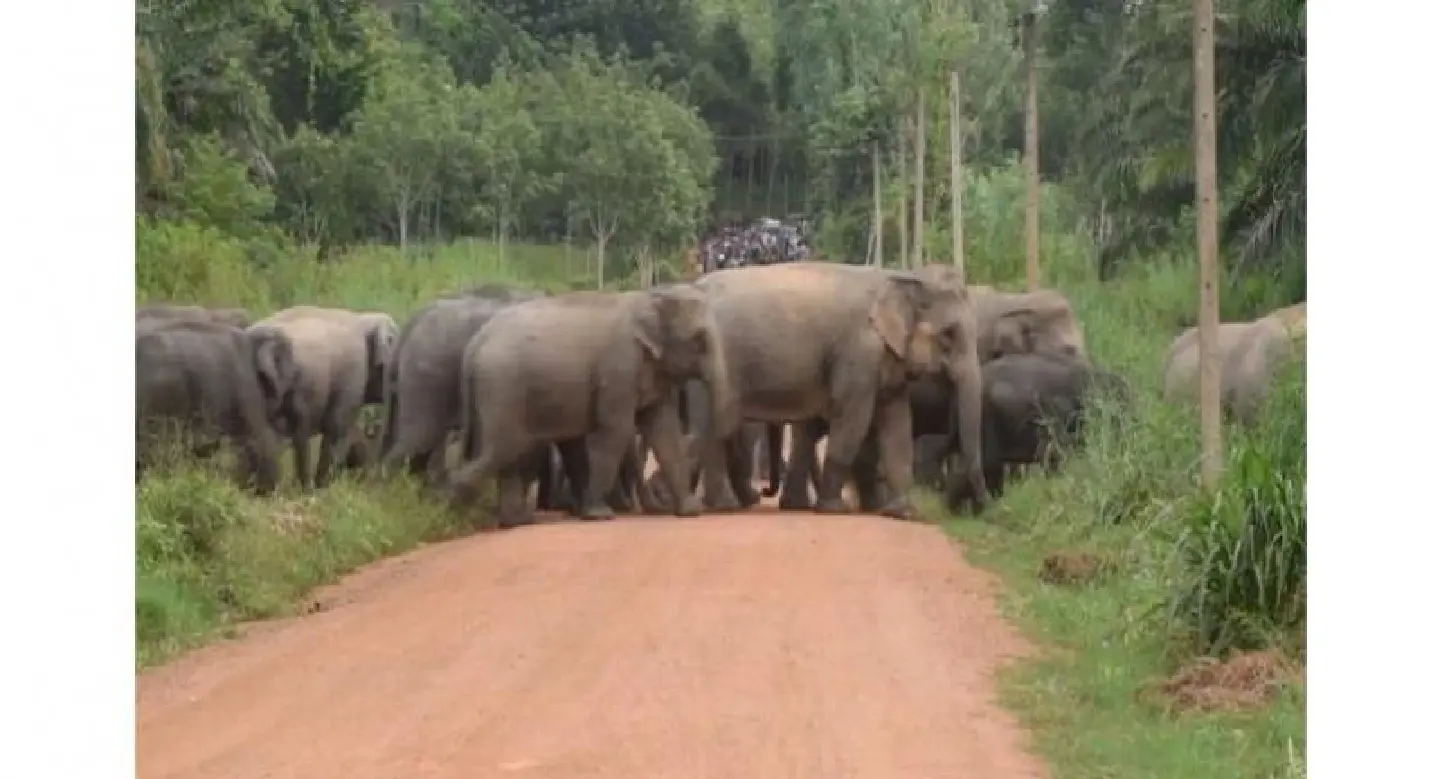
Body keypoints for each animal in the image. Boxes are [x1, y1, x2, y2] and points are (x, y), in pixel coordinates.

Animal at [447, 285, 731, 529]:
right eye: (699, 339)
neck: (649, 297)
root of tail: (474, 344)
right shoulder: (618, 368)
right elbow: (616, 430)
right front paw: (599, 515)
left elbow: (665, 431)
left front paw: (690, 511)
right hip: (501, 387)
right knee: (505, 447)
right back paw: (452, 506)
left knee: (509, 453)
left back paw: (515, 520)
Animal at [686, 261, 987, 520]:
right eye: (948, 335)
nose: (978, 508)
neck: (901, 276)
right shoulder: (860, 352)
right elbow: (853, 419)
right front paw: (832, 509)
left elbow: (897, 422)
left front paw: (906, 514)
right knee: (715, 429)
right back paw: (726, 506)